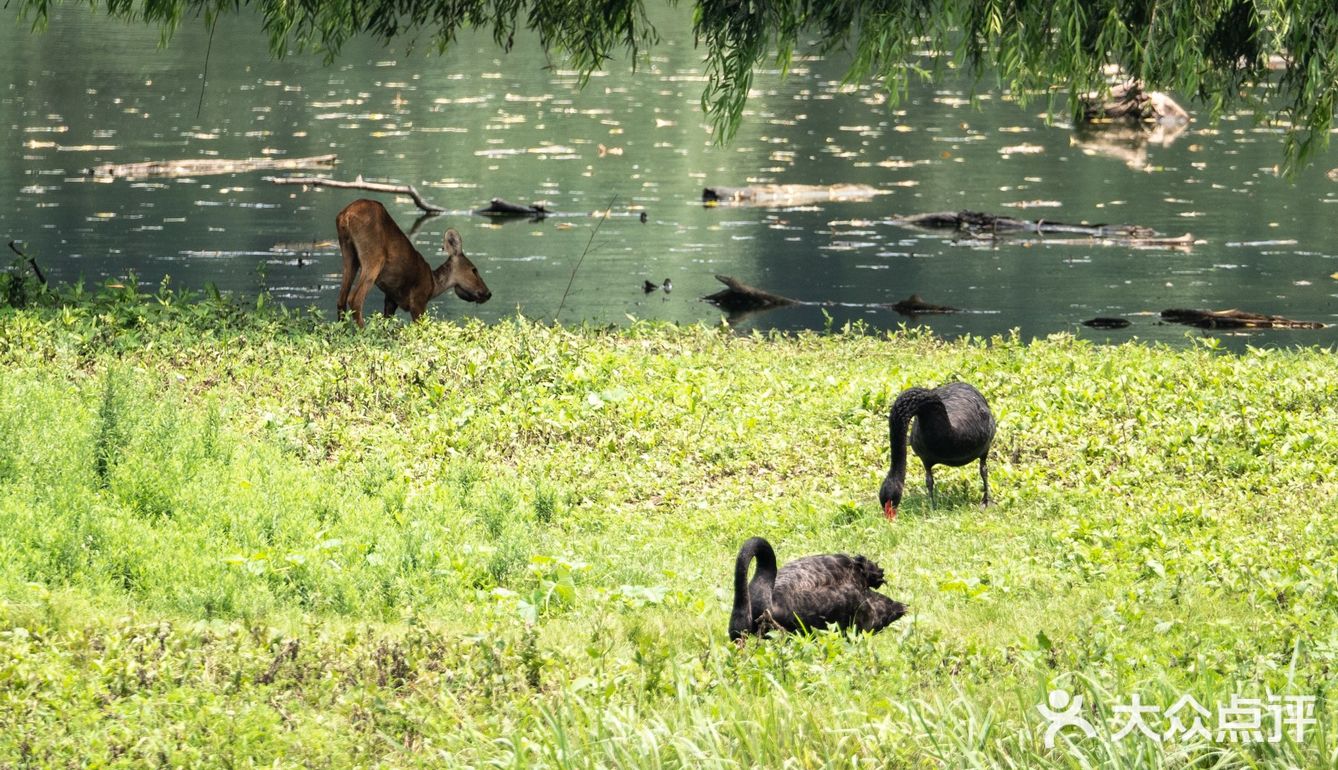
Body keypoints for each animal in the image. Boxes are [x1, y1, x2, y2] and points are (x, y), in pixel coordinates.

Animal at [334, 198, 491, 326]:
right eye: (474, 269)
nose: (488, 293)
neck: (433, 285)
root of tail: (345, 215)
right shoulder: (418, 299)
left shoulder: (391, 299)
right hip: (374, 257)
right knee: (355, 299)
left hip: (349, 254)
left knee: (341, 299)